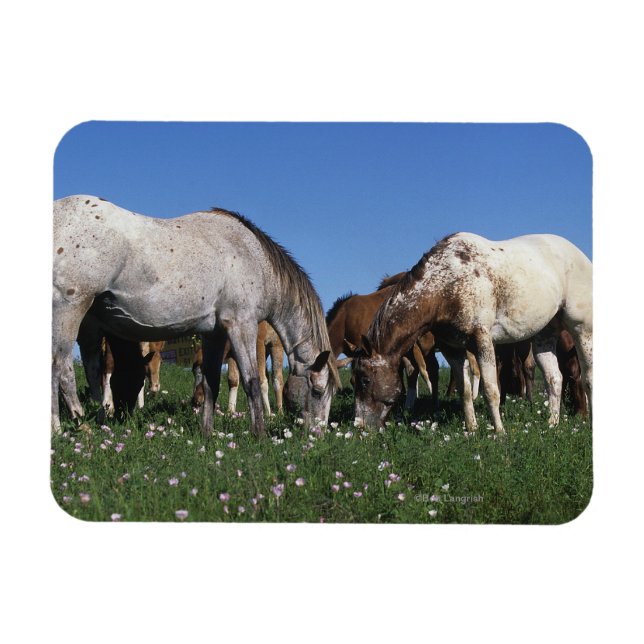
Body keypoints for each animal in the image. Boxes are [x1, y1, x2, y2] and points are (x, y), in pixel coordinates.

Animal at [52, 195, 339, 436]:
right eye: (317, 390)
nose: (318, 435)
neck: (254, 257)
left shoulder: (214, 333)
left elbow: (211, 382)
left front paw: (206, 434)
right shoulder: (241, 325)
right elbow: (252, 382)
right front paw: (259, 435)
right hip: (70, 308)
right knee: (61, 367)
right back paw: (75, 425)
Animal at [352, 232, 592, 432]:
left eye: (365, 380)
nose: (359, 426)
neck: (446, 284)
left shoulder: (482, 340)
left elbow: (491, 390)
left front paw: (499, 433)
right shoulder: (453, 350)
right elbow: (465, 391)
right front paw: (472, 429)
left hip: (581, 329)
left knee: (587, 376)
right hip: (544, 336)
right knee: (555, 379)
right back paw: (552, 424)